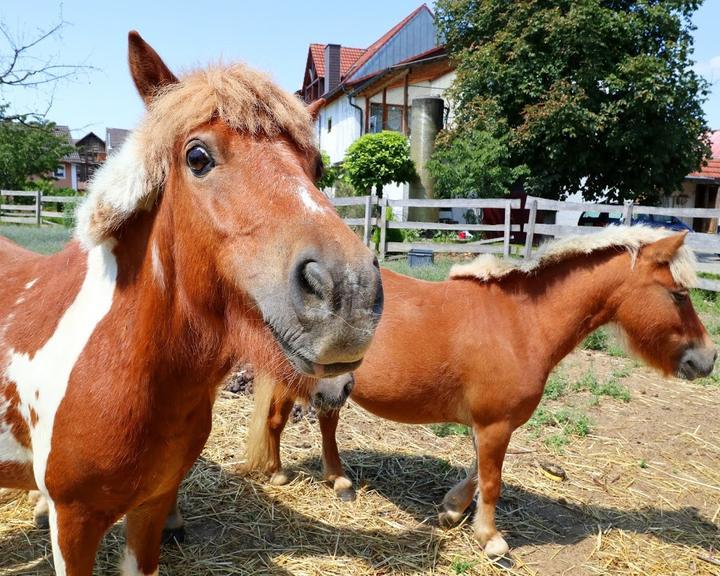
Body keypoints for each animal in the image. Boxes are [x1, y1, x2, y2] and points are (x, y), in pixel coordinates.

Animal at [0, 32, 382, 576]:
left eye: (318, 166)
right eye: (197, 157)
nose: (349, 291)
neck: (120, 364)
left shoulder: (150, 506)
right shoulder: (73, 525)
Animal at [246, 226, 716, 560]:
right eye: (679, 295)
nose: (708, 358)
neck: (522, 323)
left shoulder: (490, 424)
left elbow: (476, 470)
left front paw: (452, 510)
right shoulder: (495, 424)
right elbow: (491, 480)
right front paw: (490, 538)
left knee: (326, 422)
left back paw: (339, 480)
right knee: (277, 420)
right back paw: (278, 473)